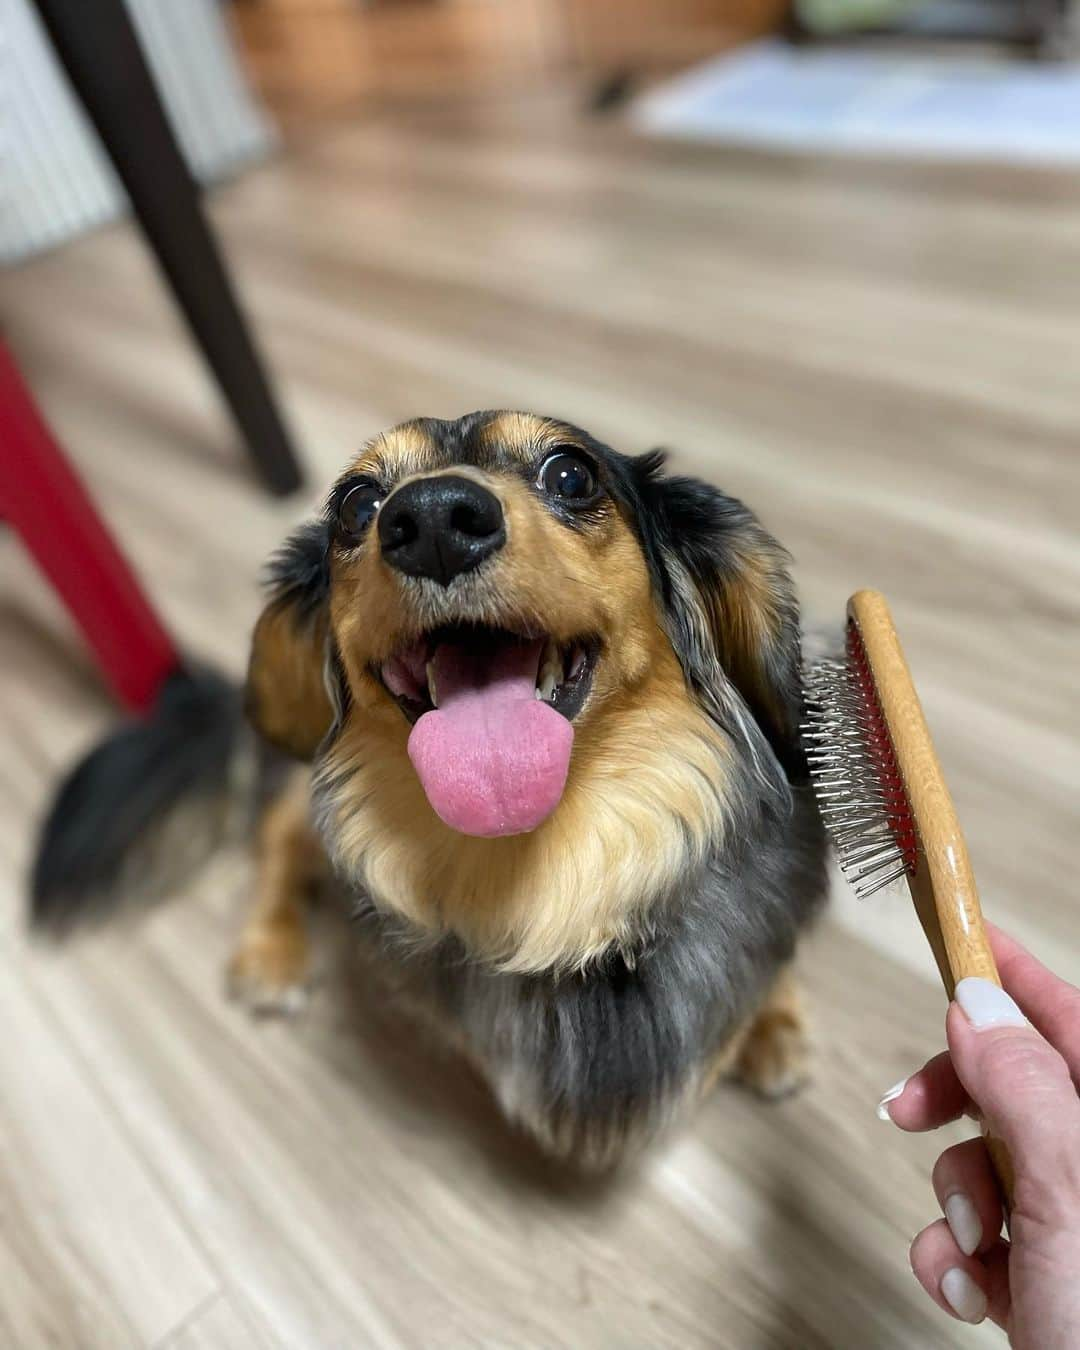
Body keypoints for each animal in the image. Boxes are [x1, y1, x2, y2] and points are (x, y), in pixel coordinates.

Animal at [31, 410, 826, 1171]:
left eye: (571, 474)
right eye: (356, 502)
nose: (435, 519)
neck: (554, 882)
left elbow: (776, 958)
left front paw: (773, 1024)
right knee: (279, 838)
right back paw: (270, 951)